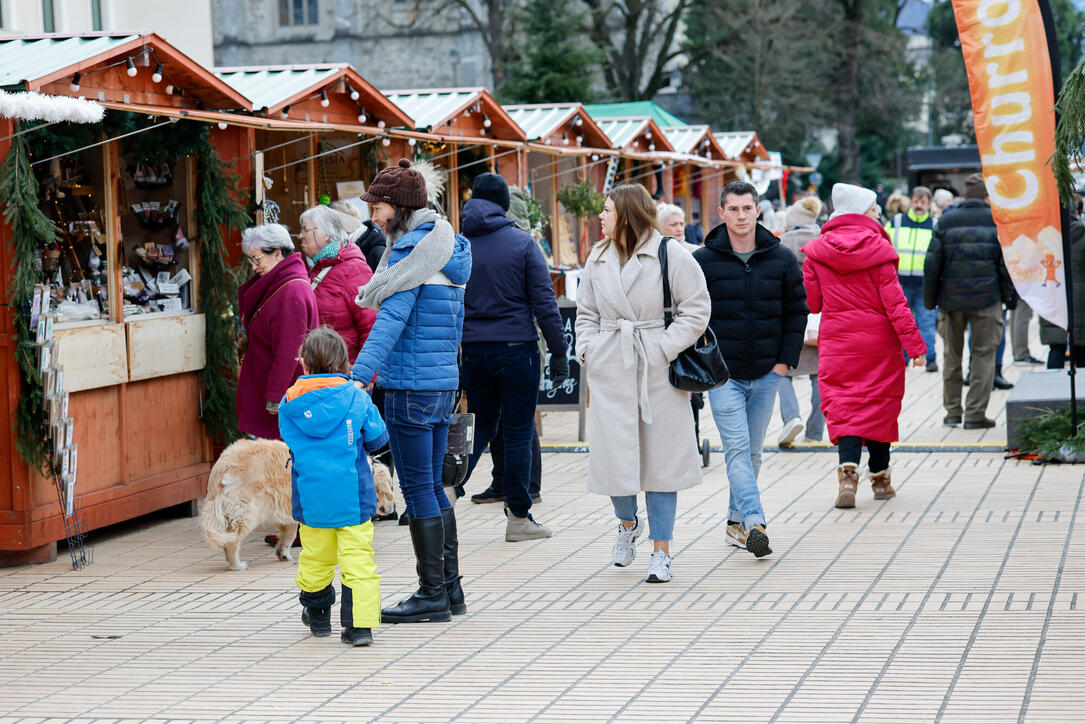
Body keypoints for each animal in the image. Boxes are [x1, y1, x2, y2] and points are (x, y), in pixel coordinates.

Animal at [200, 436, 399, 573]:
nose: (392, 510)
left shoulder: (288, 513)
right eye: (390, 488)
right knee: (232, 541)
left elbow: (288, 535)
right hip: (248, 512)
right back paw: (236, 564)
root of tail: (222, 464)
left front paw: (283, 552)